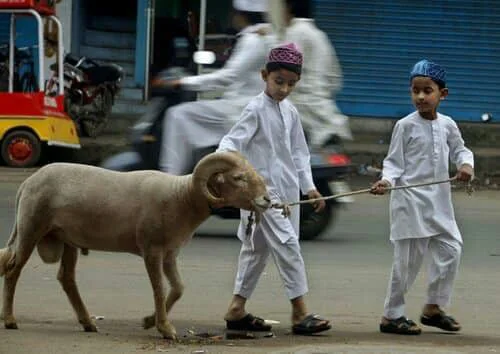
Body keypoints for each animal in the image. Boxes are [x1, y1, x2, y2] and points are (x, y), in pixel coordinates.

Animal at [0, 151, 270, 338]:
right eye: (238, 178)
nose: (267, 199)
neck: (181, 197)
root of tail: (27, 183)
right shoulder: (151, 250)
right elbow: (159, 289)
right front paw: (165, 329)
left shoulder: (170, 253)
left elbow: (178, 288)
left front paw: (149, 321)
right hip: (31, 227)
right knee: (13, 271)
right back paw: (10, 320)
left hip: (67, 240)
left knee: (66, 279)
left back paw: (88, 323)